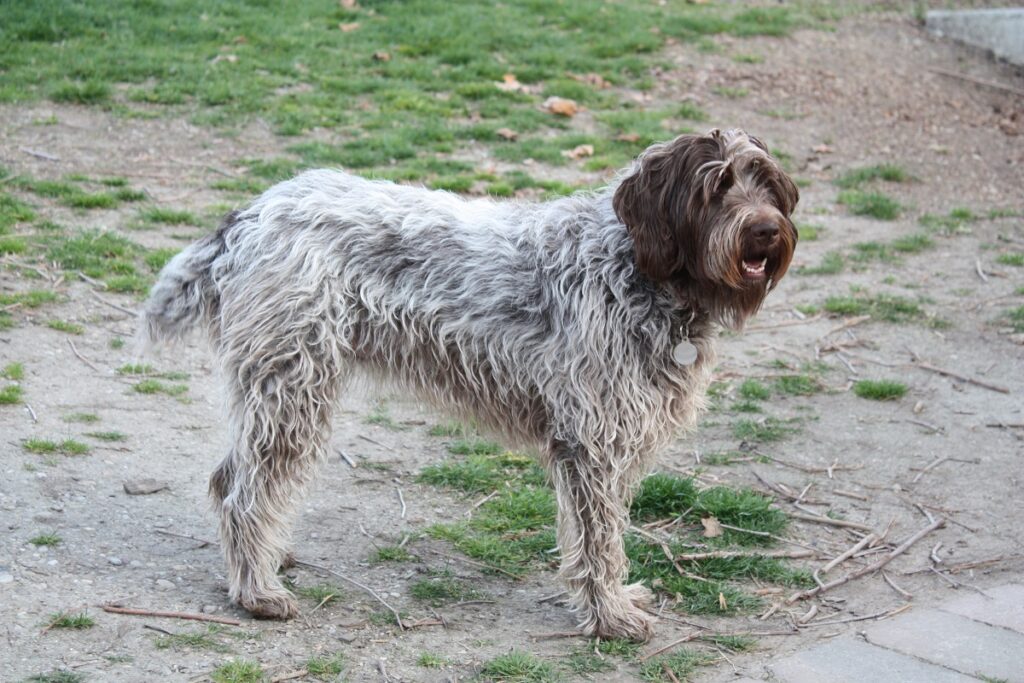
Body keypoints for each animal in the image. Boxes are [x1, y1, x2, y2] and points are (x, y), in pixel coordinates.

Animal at [142, 126, 798, 643]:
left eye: (767, 183)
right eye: (715, 186)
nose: (766, 231)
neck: (637, 268)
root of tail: (250, 216)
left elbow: (607, 534)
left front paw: (615, 603)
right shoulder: (592, 443)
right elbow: (600, 541)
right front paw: (608, 617)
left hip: (281, 388)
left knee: (232, 477)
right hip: (293, 386)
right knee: (244, 491)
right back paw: (257, 591)